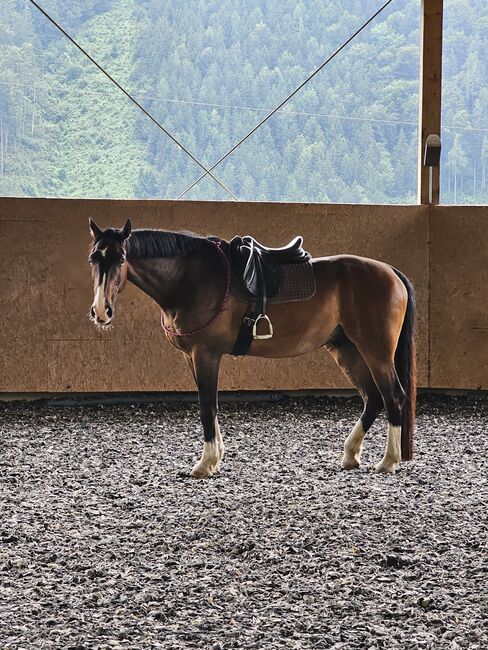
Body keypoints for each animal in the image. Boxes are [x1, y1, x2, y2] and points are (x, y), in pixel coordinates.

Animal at [88, 218, 416, 476]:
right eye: (94, 259)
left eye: (120, 259)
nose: (101, 311)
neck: (192, 279)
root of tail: (390, 271)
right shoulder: (191, 358)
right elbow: (211, 406)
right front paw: (215, 458)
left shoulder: (206, 354)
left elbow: (207, 405)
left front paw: (205, 464)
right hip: (346, 349)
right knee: (372, 397)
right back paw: (350, 455)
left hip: (375, 351)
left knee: (392, 396)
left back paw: (388, 461)